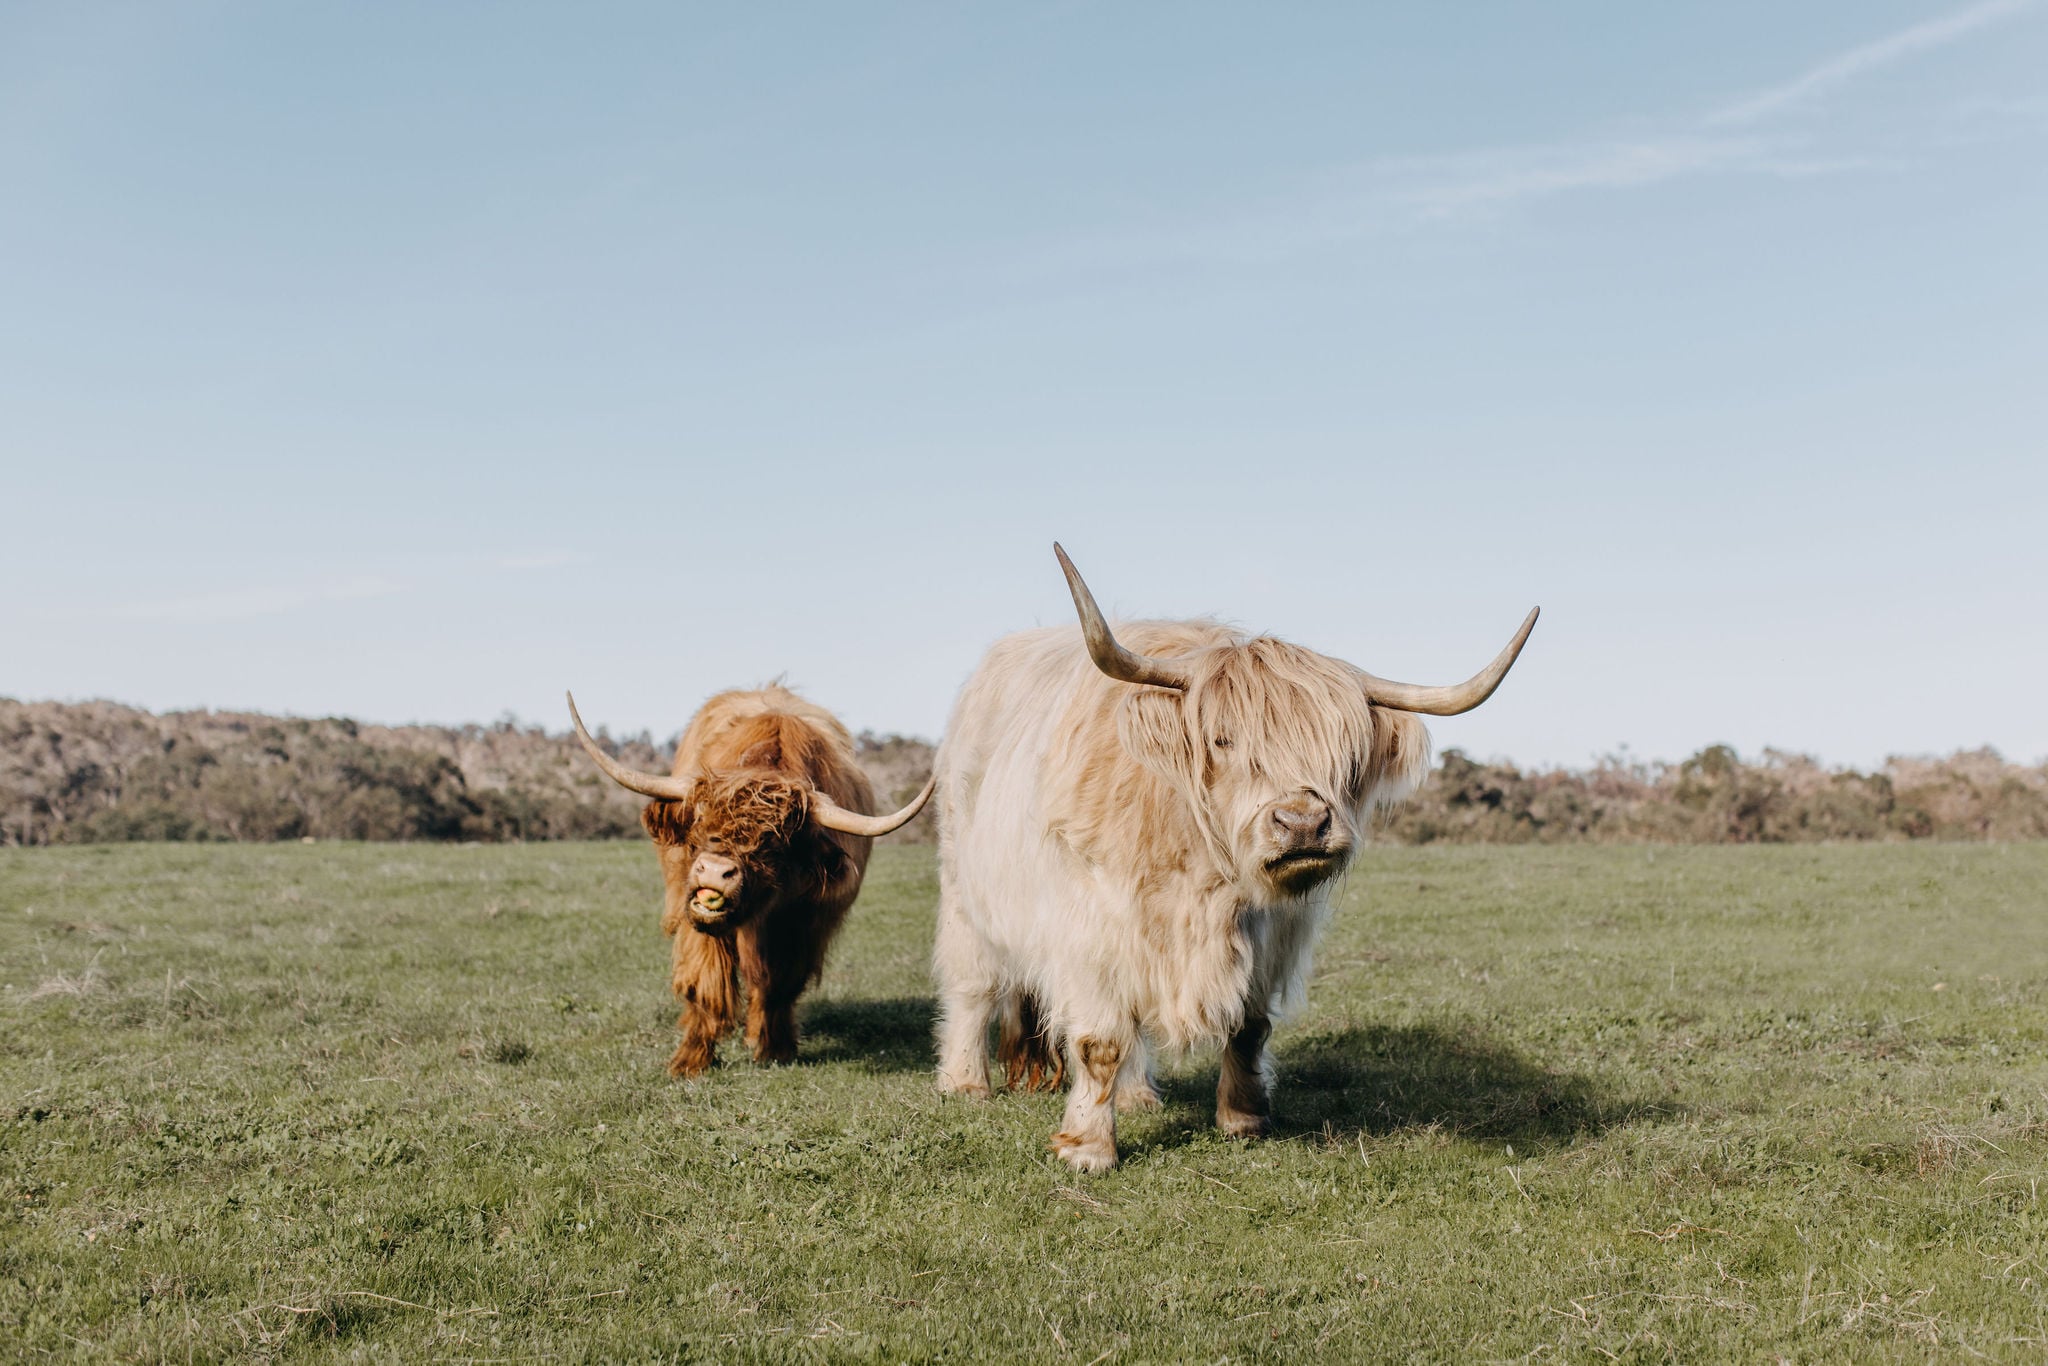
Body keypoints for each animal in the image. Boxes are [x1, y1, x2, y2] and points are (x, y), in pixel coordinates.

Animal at [568, 686, 933, 1077]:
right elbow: (705, 983)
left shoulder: (803, 924)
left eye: (773, 841)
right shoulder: (697, 919)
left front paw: (775, 1049)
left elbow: (779, 983)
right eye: (700, 819)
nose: (714, 871)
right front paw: (690, 1061)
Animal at [932, 545, 1537, 1170]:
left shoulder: (1272, 935)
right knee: (972, 986)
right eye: (1223, 740)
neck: (1202, 877)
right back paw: (965, 1082)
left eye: (1346, 753)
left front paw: (1244, 1119)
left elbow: (1248, 1027)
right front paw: (1088, 1148)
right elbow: (1101, 1040)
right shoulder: (1091, 932)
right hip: (965, 895)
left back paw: (1138, 1096)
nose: (1303, 825)